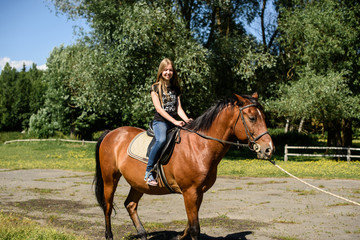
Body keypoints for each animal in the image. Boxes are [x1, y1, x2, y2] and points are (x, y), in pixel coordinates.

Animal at [94, 92, 274, 240]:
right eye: (252, 118)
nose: (268, 149)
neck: (200, 146)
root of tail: (111, 133)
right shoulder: (190, 191)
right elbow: (195, 228)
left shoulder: (198, 192)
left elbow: (190, 222)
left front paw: (179, 236)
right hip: (110, 178)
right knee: (108, 207)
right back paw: (109, 235)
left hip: (138, 183)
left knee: (130, 204)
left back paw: (142, 234)